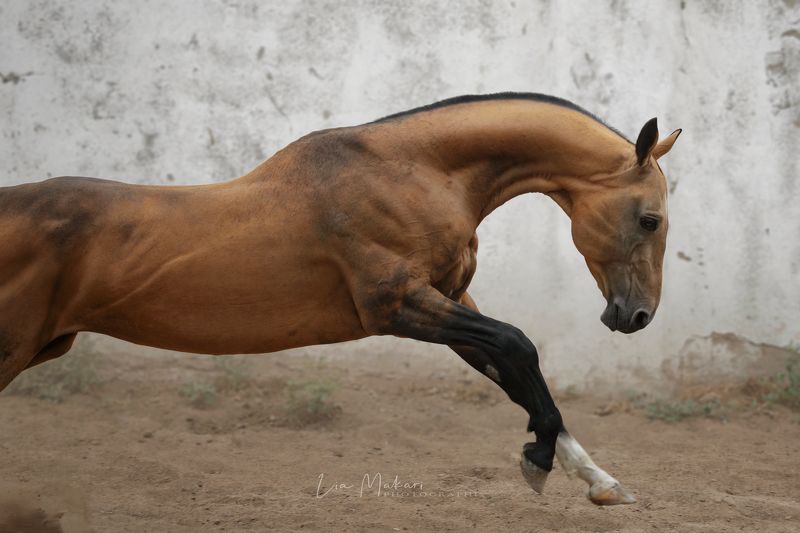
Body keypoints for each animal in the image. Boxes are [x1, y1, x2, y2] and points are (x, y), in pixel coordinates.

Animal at [0, 92, 680, 505]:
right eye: (650, 220)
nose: (636, 316)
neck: (413, 172)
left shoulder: (450, 299)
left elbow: (516, 372)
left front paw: (601, 483)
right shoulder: (396, 305)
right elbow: (519, 347)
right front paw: (538, 460)